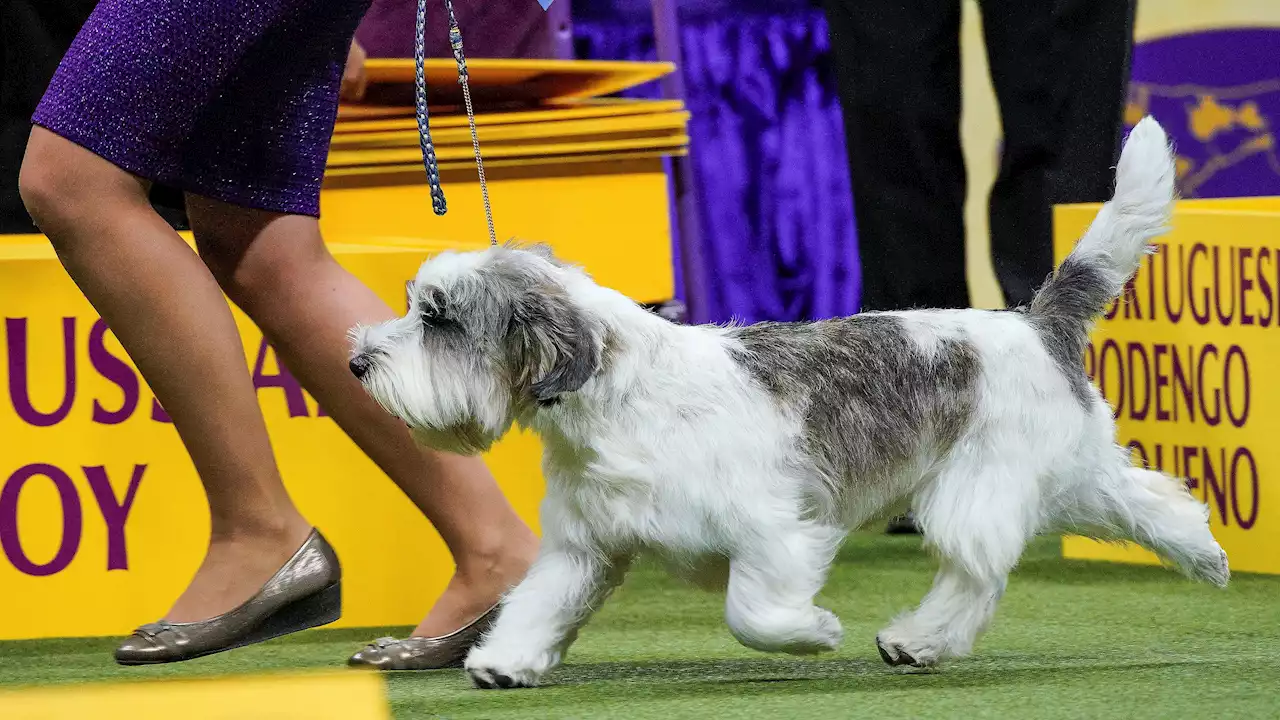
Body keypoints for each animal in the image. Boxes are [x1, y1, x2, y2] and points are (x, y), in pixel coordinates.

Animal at [350, 119, 1228, 691]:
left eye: (440, 320)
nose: (357, 360)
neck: (615, 403)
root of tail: (1031, 322)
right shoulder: (582, 547)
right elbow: (537, 602)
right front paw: (504, 661)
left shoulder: (776, 533)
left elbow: (752, 612)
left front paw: (812, 633)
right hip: (1069, 474)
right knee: (1154, 501)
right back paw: (1208, 558)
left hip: (977, 492)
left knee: (975, 577)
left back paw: (913, 639)